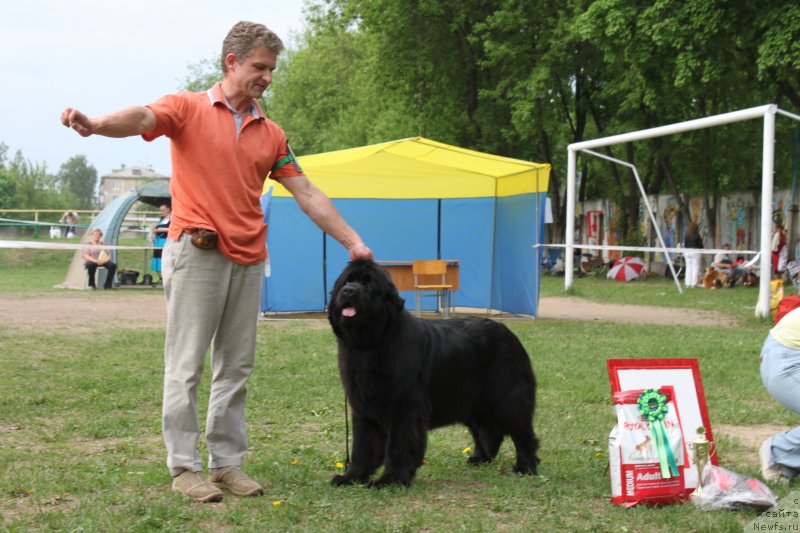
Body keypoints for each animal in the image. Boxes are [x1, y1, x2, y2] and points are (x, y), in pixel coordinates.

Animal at [328, 258, 540, 486]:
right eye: (346, 282)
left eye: (369, 285)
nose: (349, 290)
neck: (371, 344)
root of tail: (509, 334)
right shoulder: (364, 409)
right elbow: (363, 447)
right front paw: (351, 477)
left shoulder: (405, 408)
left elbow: (398, 446)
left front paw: (391, 480)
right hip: (472, 401)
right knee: (487, 431)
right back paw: (480, 459)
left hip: (507, 399)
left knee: (523, 434)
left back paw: (526, 467)